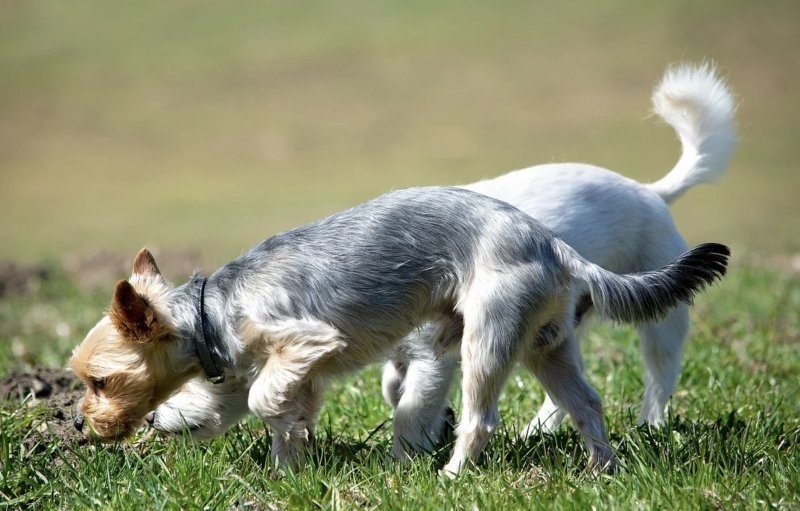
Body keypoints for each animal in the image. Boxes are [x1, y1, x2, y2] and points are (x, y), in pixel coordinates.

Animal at [70, 184, 732, 476]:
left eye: (99, 382)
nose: (79, 424)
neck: (213, 309)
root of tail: (554, 246)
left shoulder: (308, 340)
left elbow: (263, 398)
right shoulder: (296, 369)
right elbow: (285, 415)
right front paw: (288, 471)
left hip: (487, 338)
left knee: (480, 419)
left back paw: (451, 476)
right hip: (549, 347)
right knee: (588, 404)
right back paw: (603, 471)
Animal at [147, 63, 736, 452]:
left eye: (194, 373)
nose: (148, 421)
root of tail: (652, 191)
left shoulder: (436, 354)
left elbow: (410, 408)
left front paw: (411, 451)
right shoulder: (405, 353)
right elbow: (394, 388)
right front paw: (433, 425)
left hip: (656, 326)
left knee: (659, 377)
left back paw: (648, 425)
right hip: (557, 332)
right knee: (574, 396)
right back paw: (546, 432)